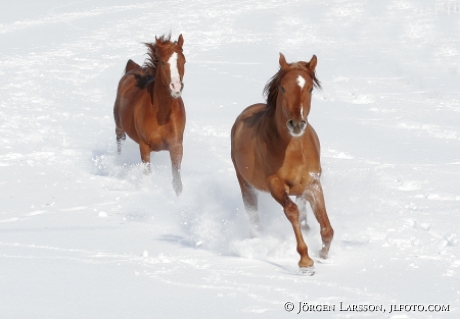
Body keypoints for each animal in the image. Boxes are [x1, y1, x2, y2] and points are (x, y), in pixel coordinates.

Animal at [114, 34, 186, 195]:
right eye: (163, 62)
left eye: (183, 61)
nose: (176, 87)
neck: (162, 115)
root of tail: (132, 69)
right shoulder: (144, 146)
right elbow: (147, 176)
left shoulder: (176, 146)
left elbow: (177, 182)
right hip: (119, 127)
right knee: (120, 143)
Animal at [232, 52, 332, 276]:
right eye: (284, 87)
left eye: (310, 88)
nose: (296, 124)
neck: (293, 150)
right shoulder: (275, 185)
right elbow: (292, 211)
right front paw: (306, 262)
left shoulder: (313, 184)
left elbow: (327, 228)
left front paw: (323, 255)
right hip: (246, 184)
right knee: (254, 216)